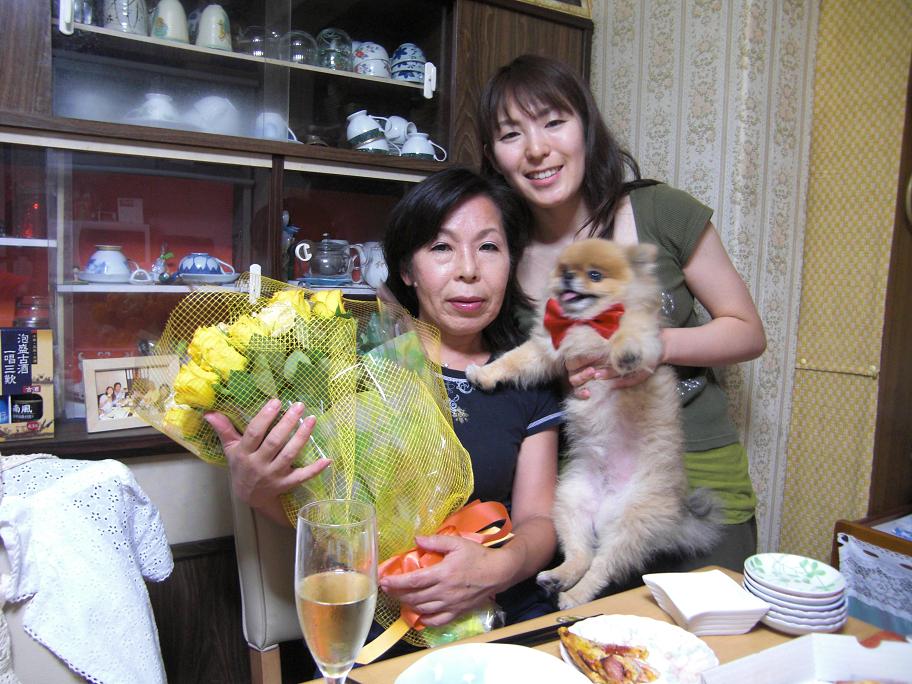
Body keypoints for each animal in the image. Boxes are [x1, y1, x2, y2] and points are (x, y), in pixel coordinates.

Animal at [466, 238, 720, 609]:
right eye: (564, 269)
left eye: (596, 275)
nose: (568, 278)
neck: (585, 322)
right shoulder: (545, 351)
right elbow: (512, 360)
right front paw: (483, 374)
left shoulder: (640, 335)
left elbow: (628, 336)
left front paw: (625, 353)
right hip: (570, 502)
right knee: (582, 555)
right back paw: (558, 578)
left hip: (631, 523)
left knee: (602, 568)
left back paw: (575, 597)